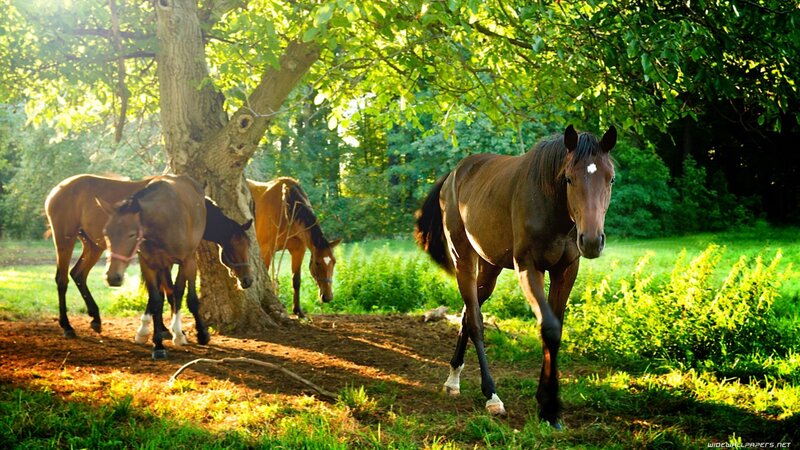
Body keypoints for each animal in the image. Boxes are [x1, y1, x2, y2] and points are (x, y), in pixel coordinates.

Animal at [44, 174, 254, 339]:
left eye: (248, 245)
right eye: (236, 246)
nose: (247, 280)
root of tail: (55, 191)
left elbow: (166, 290)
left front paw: (163, 328)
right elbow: (165, 291)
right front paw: (164, 329)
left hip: (93, 246)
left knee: (78, 274)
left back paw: (95, 318)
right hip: (64, 241)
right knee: (62, 279)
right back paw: (67, 326)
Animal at [100, 174, 208, 359]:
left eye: (131, 234)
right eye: (106, 233)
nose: (112, 277)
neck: (163, 220)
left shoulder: (187, 260)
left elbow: (190, 298)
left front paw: (199, 334)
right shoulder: (149, 263)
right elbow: (156, 300)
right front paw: (157, 345)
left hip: (184, 261)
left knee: (179, 292)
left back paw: (180, 332)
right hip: (163, 265)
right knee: (166, 293)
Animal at [246, 177, 341, 318]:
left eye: (334, 262)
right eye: (317, 263)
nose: (328, 297)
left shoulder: (298, 250)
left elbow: (296, 280)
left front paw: (298, 310)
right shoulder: (266, 250)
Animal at [415, 124, 617, 427]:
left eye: (610, 178)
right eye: (569, 179)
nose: (592, 241)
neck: (549, 204)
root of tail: (453, 175)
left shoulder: (566, 270)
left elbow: (555, 329)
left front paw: (546, 403)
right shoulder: (528, 268)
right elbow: (549, 327)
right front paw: (549, 407)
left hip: (490, 267)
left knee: (467, 312)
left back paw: (453, 380)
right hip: (464, 258)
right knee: (475, 320)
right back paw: (491, 395)